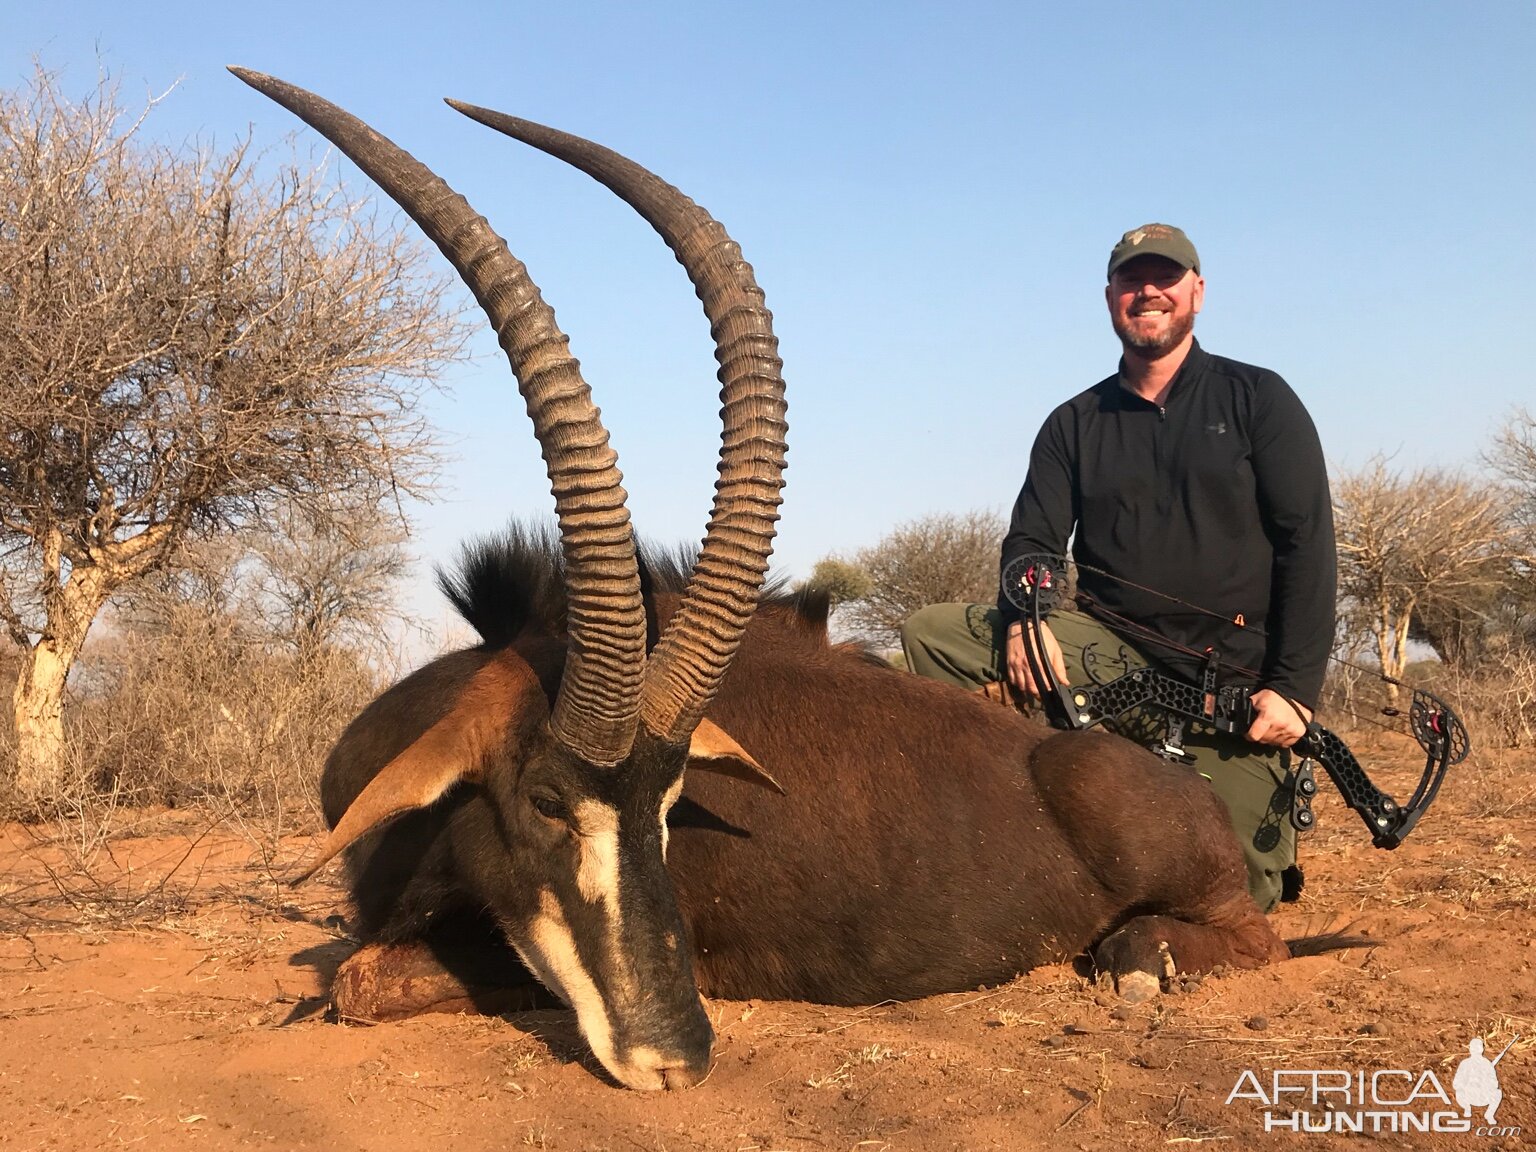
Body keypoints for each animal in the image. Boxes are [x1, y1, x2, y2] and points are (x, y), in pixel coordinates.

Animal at [233, 67, 1290, 1093]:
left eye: (669, 808)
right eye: (543, 801)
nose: (676, 1055)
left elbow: (360, 978)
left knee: (1229, 939)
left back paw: (1141, 956)